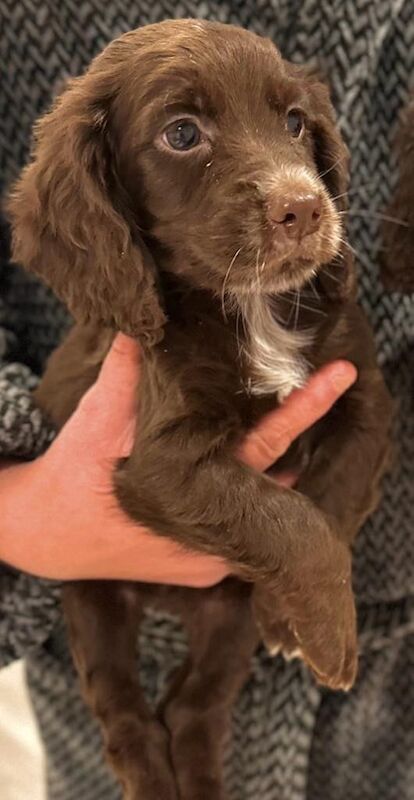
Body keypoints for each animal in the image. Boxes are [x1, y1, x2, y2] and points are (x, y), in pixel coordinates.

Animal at [8, 18, 392, 800]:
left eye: (295, 121)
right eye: (182, 134)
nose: (305, 207)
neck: (249, 307)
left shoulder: (364, 396)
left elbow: (326, 501)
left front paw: (294, 619)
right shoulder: (160, 464)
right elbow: (288, 516)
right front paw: (329, 632)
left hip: (222, 617)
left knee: (193, 707)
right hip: (88, 597)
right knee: (126, 713)